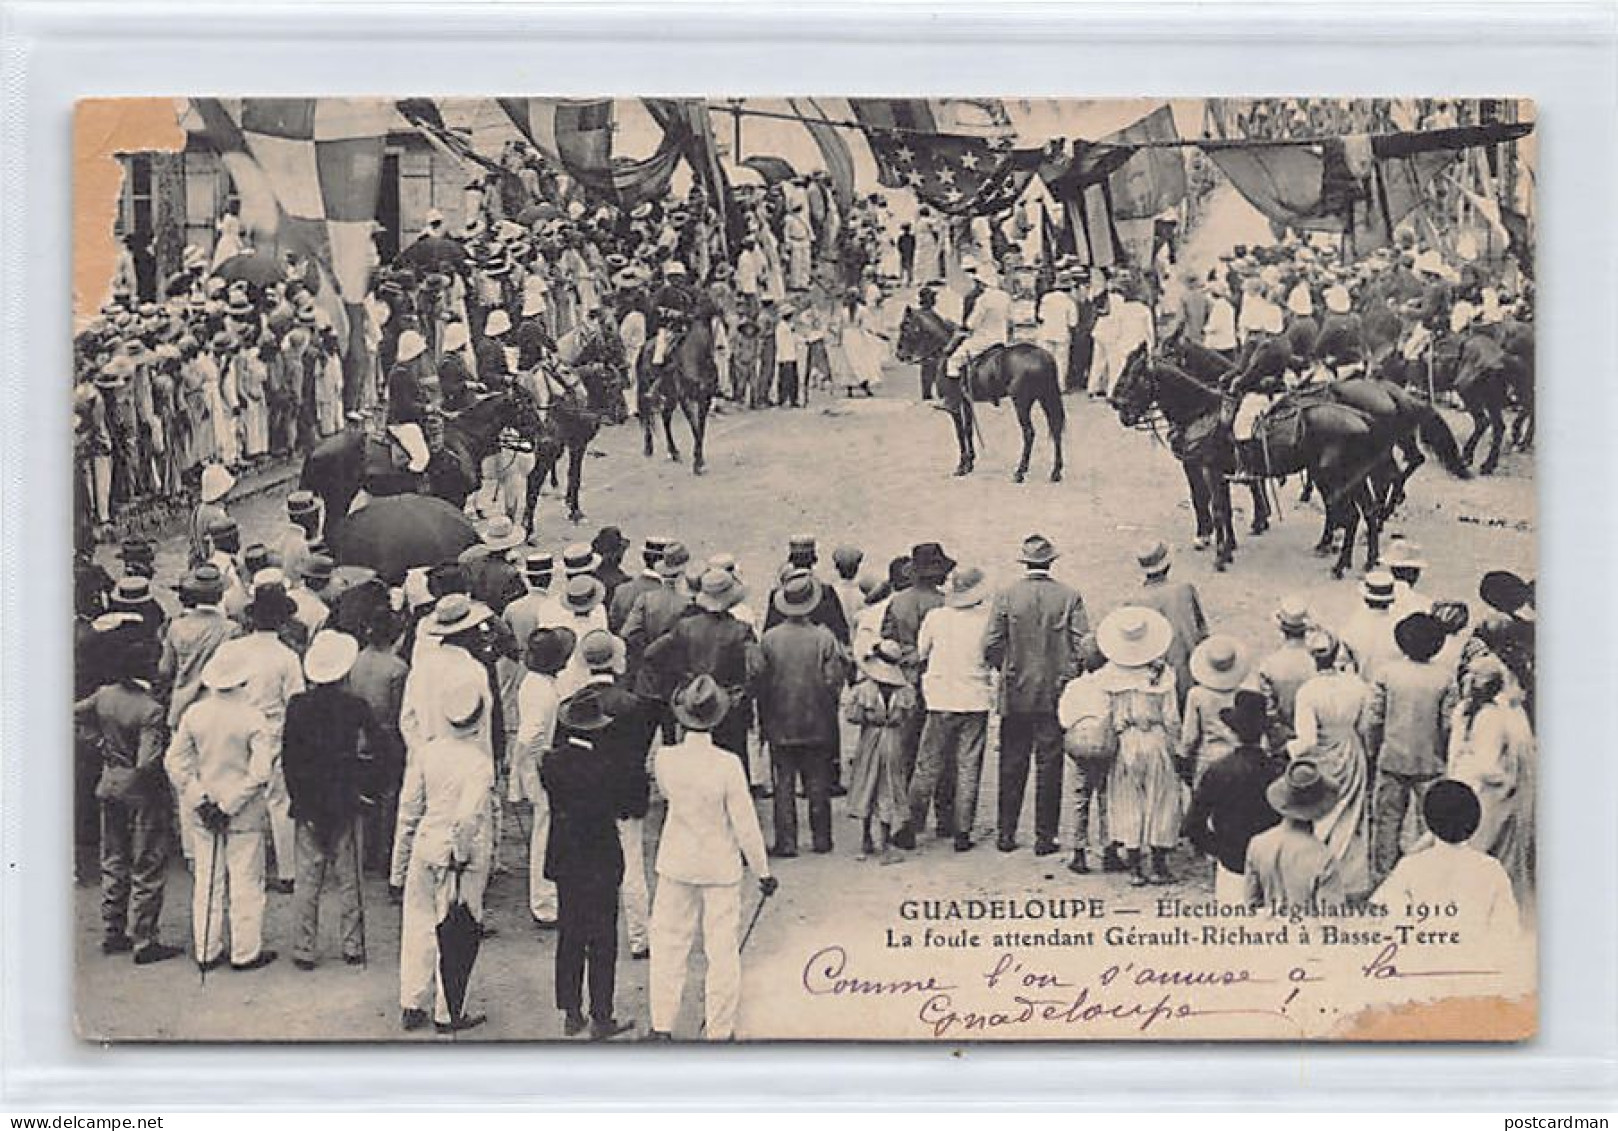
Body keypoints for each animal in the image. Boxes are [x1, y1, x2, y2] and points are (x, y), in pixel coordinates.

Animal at [637, 312, 721, 475]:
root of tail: (646, 345)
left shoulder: (705, 399)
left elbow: (700, 429)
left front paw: (699, 459)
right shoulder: (685, 399)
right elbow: (695, 427)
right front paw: (698, 463)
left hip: (671, 397)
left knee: (665, 417)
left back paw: (674, 452)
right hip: (647, 390)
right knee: (647, 414)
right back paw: (648, 448)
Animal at [893, 307, 1067, 485]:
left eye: (904, 327)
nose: (899, 354)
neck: (945, 349)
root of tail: (1044, 356)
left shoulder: (954, 406)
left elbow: (960, 433)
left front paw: (961, 467)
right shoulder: (966, 402)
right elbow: (968, 430)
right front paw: (969, 464)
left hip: (1022, 403)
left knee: (1029, 433)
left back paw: (1020, 472)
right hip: (1045, 398)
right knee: (1055, 428)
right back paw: (1055, 472)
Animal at [1113, 343, 1391, 576]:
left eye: (1133, 377)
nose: (1118, 406)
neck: (1203, 412)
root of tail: (1362, 417)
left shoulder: (1207, 469)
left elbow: (1214, 508)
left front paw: (1219, 554)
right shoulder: (1219, 473)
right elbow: (1224, 509)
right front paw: (1229, 547)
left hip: (1335, 478)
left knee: (1351, 515)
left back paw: (1340, 564)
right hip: (1350, 478)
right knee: (1366, 512)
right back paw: (1365, 559)